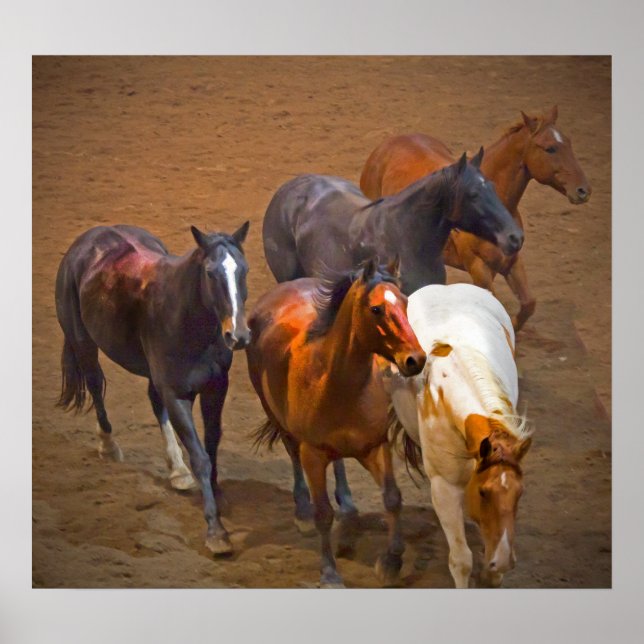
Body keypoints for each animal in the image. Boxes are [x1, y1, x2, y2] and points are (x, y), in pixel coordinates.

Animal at [55, 222, 250, 556]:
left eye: (244, 270)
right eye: (210, 273)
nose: (237, 335)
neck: (185, 319)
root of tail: (89, 239)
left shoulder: (216, 388)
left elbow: (211, 445)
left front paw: (216, 493)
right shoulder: (176, 395)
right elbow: (200, 456)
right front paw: (216, 532)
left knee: (152, 402)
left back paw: (178, 471)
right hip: (84, 345)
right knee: (95, 387)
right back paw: (108, 445)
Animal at [246, 258, 426, 588]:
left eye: (405, 302)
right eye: (376, 309)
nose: (415, 359)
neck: (337, 382)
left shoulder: (375, 446)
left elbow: (392, 498)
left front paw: (391, 560)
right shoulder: (313, 455)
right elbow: (323, 514)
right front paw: (329, 573)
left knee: (340, 465)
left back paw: (349, 507)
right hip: (281, 422)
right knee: (293, 456)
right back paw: (303, 511)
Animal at [359, 106, 592, 330]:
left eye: (569, 142)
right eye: (550, 148)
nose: (583, 190)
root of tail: (385, 145)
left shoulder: (512, 261)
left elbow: (528, 304)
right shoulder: (479, 268)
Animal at [383, 283, 532, 588]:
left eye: (520, 493)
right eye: (484, 492)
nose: (505, 559)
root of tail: (447, 286)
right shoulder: (444, 487)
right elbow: (461, 560)